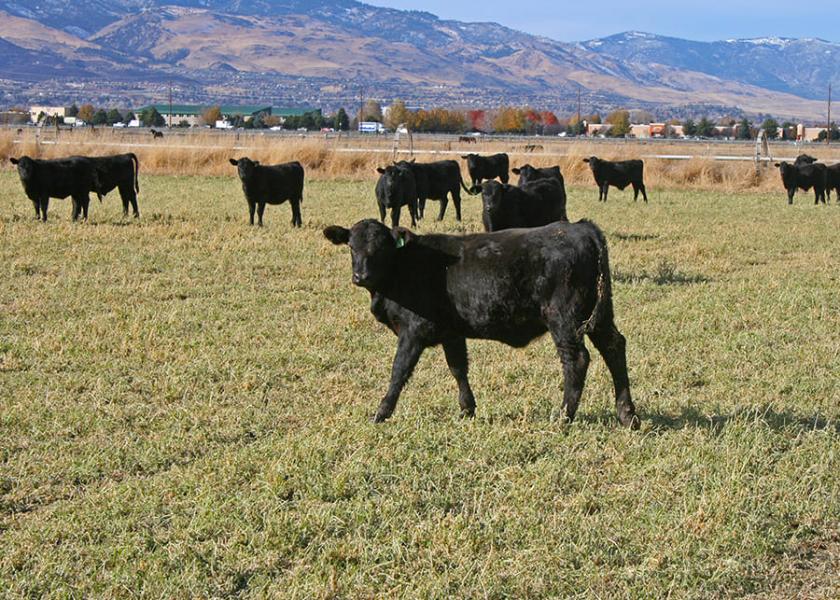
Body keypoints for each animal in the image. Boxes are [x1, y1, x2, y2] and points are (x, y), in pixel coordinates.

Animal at [324, 218, 640, 428]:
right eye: (351, 247)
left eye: (382, 248)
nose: (360, 276)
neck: (403, 268)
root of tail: (580, 227)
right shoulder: (451, 332)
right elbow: (458, 368)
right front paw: (467, 409)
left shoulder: (413, 332)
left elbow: (398, 372)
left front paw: (381, 412)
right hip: (599, 316)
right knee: (614, 348)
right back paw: (627, 414)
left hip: (564, 318)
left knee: (577, 360)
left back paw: (563, 417)